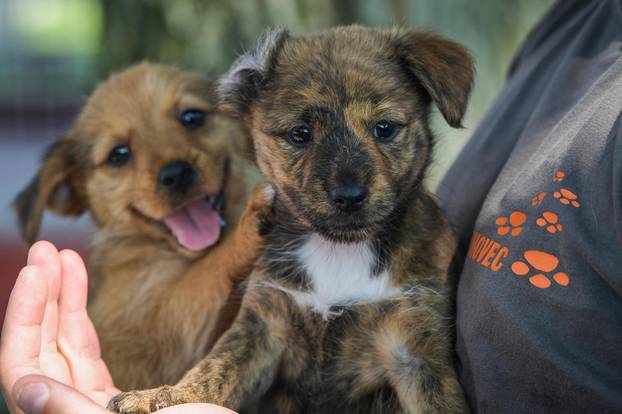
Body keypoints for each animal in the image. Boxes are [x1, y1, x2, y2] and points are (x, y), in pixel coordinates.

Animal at [14, 63, 272, 390]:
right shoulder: (161, 325)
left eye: (192, 117)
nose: (177, 174)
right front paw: (250, 221)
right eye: (118, 154)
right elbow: (210, 268)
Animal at [109, 26, 476, 414]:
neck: (338, 249)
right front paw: (160, 395)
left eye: (385, 128)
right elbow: (212, 370)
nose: (349, 196)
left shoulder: (416, 349)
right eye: (300, 134)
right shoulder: (263, 325)